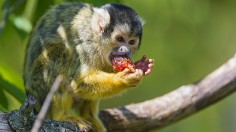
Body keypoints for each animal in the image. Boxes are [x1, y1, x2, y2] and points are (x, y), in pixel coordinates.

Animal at [23, 2, 153, 132]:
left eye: (131, 42)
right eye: (120, 39)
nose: (125, 50)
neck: (97, 41)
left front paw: (141, 65)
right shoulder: (86, 43)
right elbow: (79, 82)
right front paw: (123, 79)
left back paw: (89, 116)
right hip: (39, 87)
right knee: (60, 52)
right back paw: (61, 116)